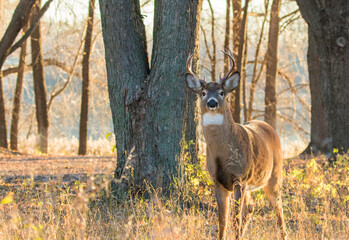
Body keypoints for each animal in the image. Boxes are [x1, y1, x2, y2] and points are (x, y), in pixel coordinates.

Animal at [185, 49, 286, 240]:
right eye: (203, 92)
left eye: (221, 92)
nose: (212, 102)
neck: (222, 153)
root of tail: (270, 127)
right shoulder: (217, 181)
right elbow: (222, 222)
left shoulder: (240, 178)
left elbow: (235, 220)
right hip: (251, 184)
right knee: (251, 207)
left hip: (273, 175)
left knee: (279, 210)